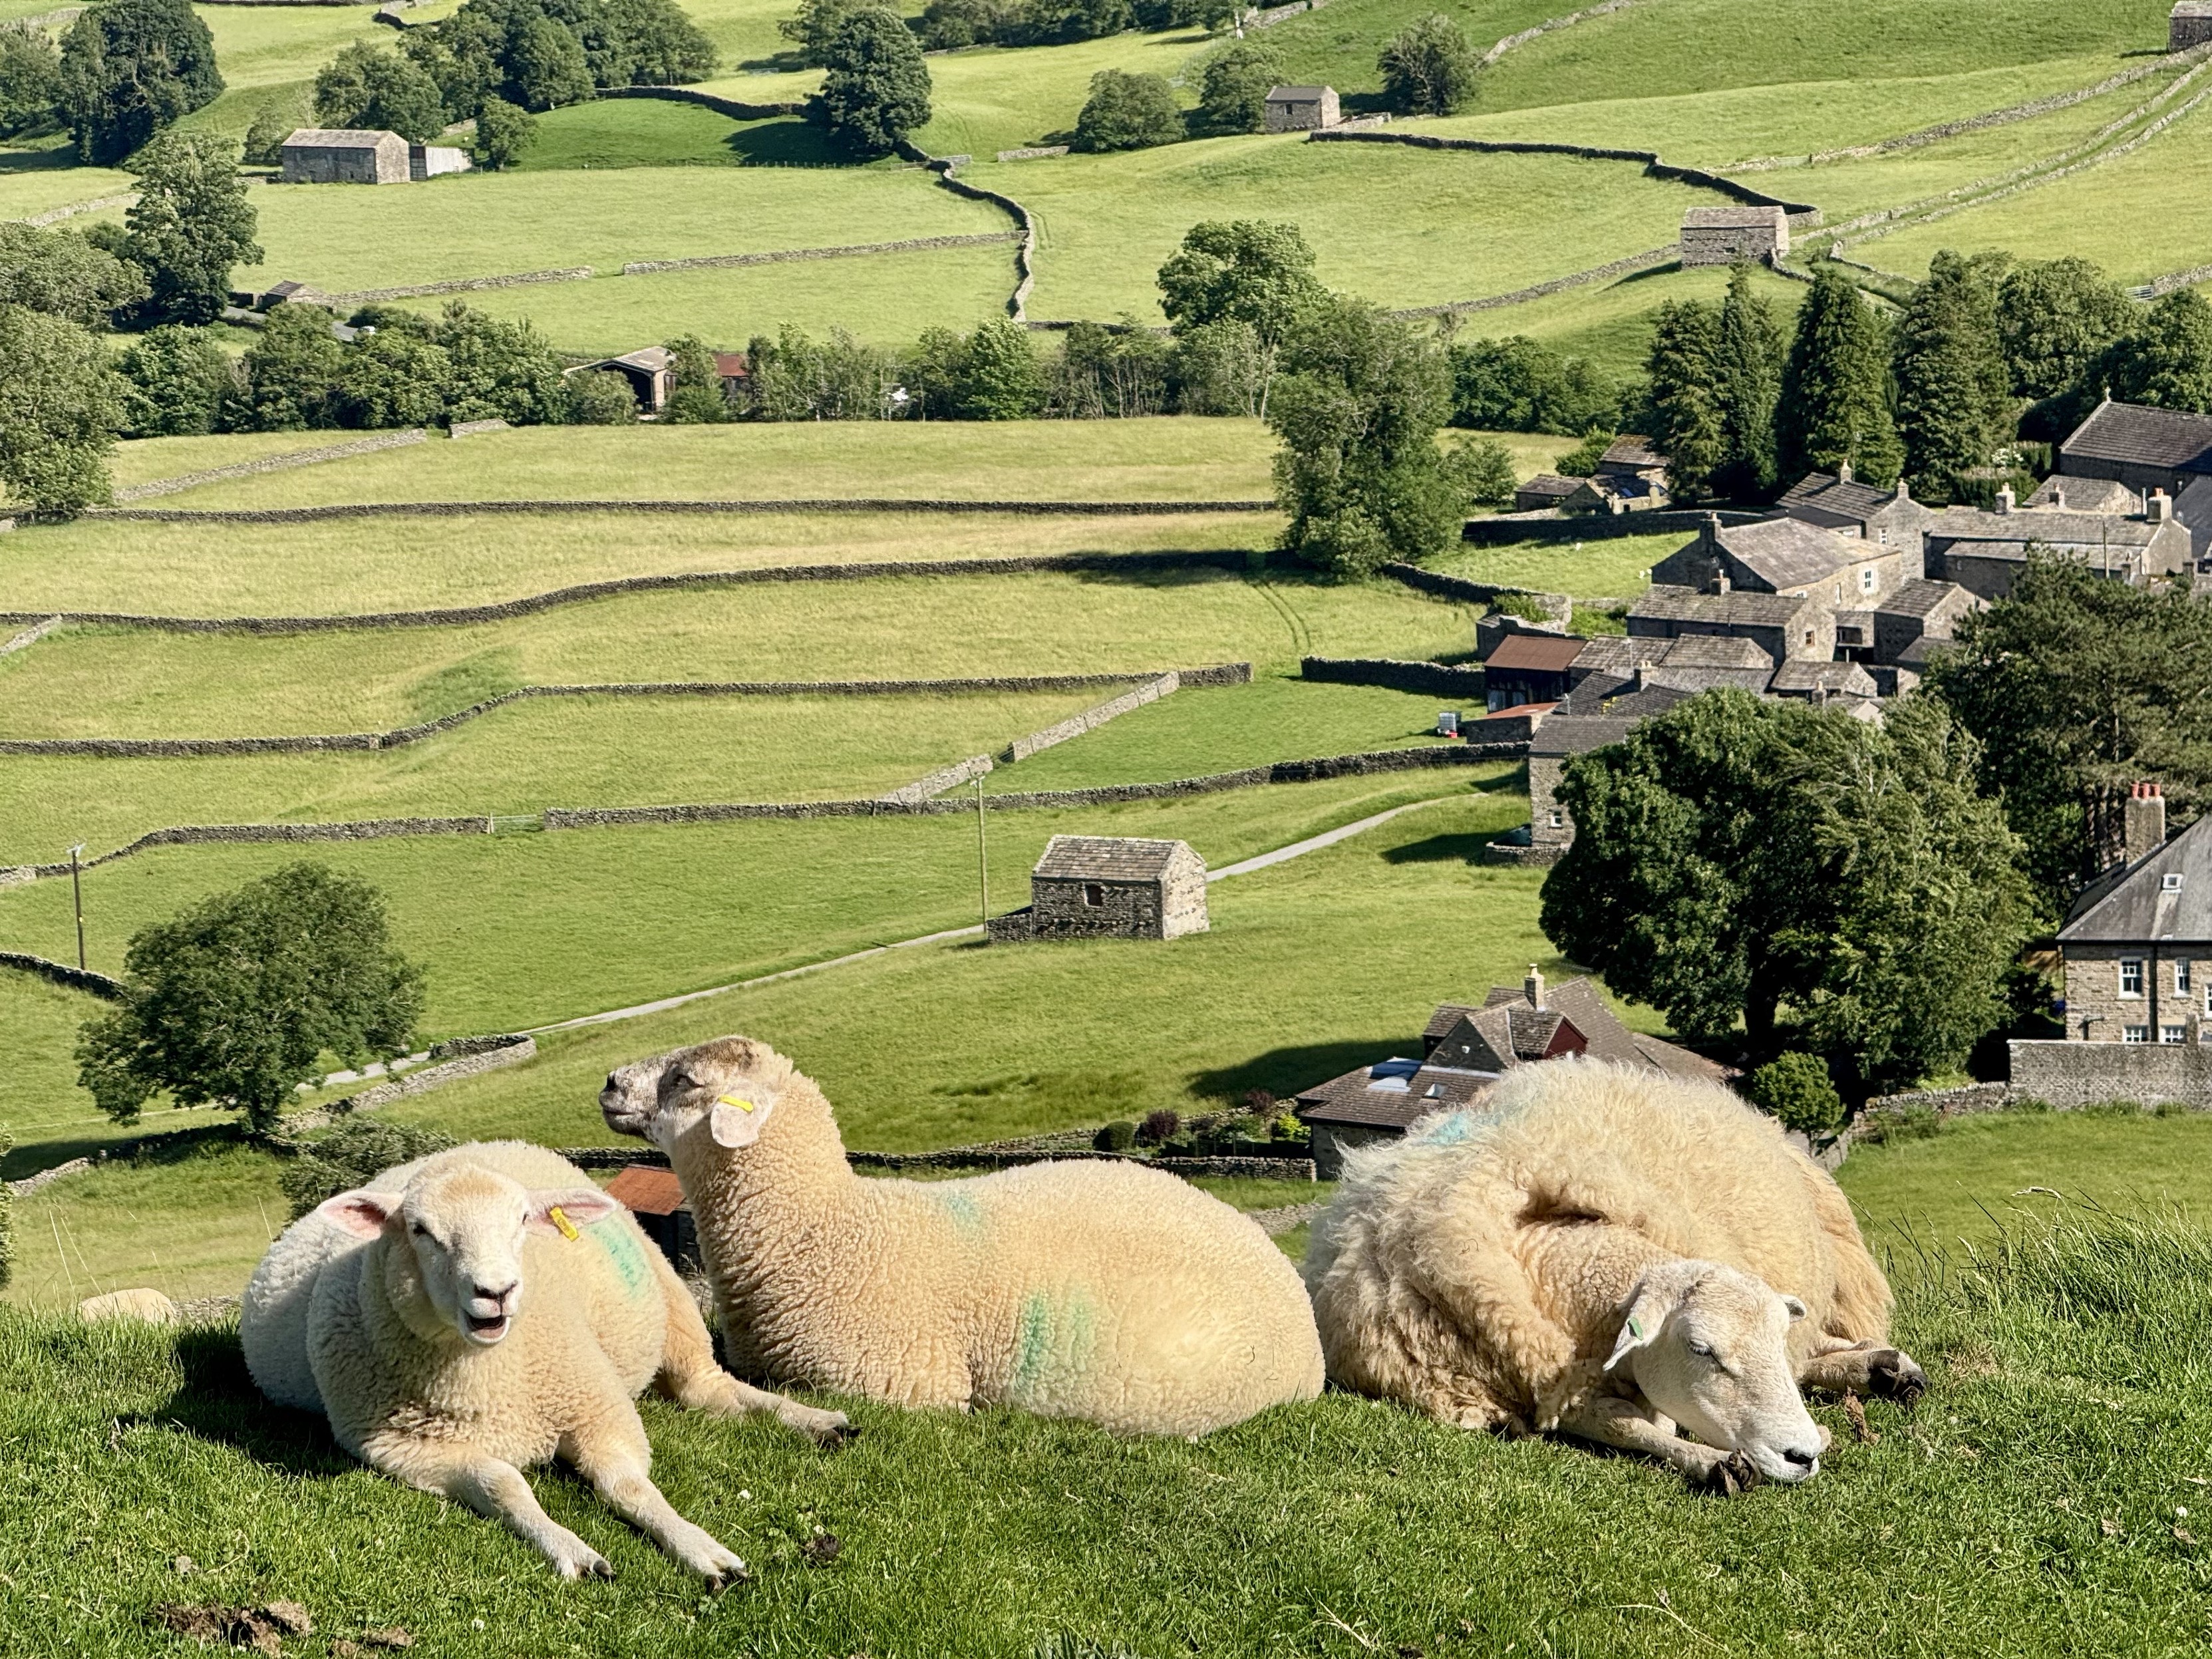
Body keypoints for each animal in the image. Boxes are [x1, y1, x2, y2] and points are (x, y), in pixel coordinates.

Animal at [240, 1139, 849, 1582]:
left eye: (521, 1220)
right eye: (419, 1230)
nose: (496, 1291)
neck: (484, 1381)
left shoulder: (597, 1408)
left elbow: (629, 1488)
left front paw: (700, 1548)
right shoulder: (401, 1449)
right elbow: (503, 1485)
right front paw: (573, 1550)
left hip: (669, 1298)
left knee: (708, 1387)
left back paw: (815, 1421)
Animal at [1303, 1058, 1926, 1490]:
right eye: (1699, 1349)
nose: (1802, 1454)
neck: (1542, 1257)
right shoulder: (1548, 1391)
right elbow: (1626, 1425)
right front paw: (1713, 1461)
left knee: (1815, 1346)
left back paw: (1881, 1365)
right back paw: (1878, 1369)